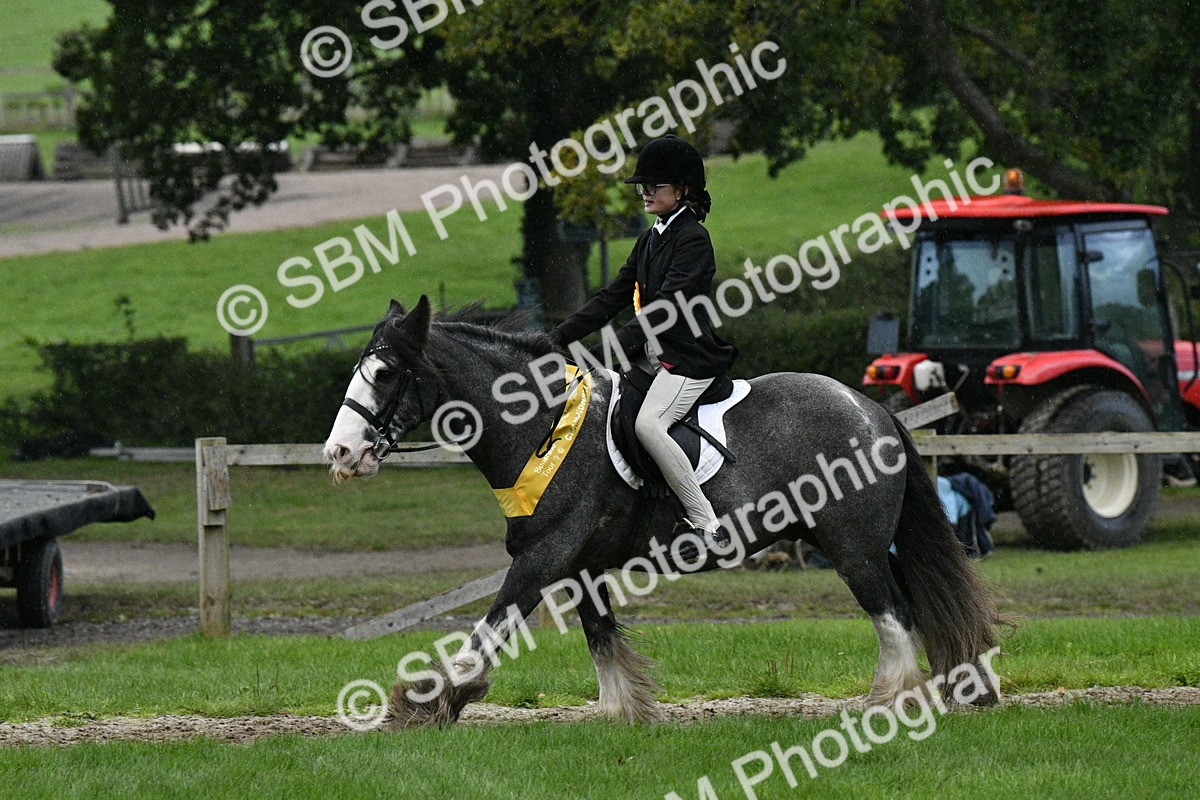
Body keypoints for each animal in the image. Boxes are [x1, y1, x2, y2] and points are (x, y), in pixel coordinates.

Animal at [323, 296, 1003, 727]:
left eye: (385, 372)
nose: (340, 452)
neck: (540, 424)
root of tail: (872, 408)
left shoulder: (543, 556)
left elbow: (490, 628)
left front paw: (429, 703)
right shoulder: (580, 565)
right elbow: (600, 636)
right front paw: (625, 714)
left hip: (852, 547)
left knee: (894, 616)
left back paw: (892, 703)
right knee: (910, 608)